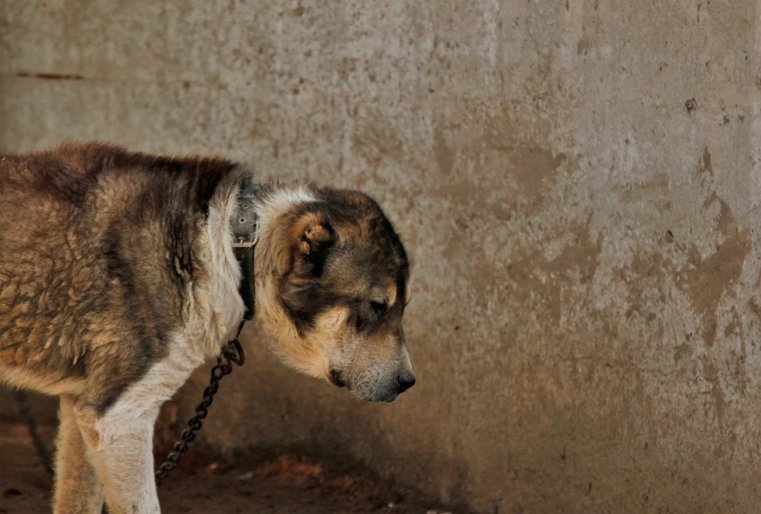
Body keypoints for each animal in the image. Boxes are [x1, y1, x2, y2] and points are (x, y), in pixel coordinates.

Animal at [0, 142, 416, 510]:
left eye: (402, 308)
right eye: (377, 307)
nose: (408, 383)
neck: (232, 244)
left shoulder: (81, 409)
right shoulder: (116, 417)